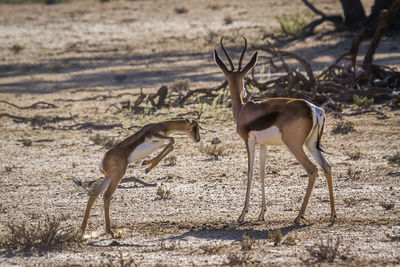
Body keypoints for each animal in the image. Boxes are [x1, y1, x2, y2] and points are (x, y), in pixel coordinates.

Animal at [214, 37, 336, 225]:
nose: (243, 92)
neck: (243, 109)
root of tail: (314, 109)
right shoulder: (263, 145)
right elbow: (262, 172)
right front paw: (262, 213)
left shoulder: (248, 141)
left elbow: (250, 171)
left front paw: (242, 214)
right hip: (311, 145)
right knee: (326, 167)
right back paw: (332, 215)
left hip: (294, 145)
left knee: (312, 170)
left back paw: (299, 216)